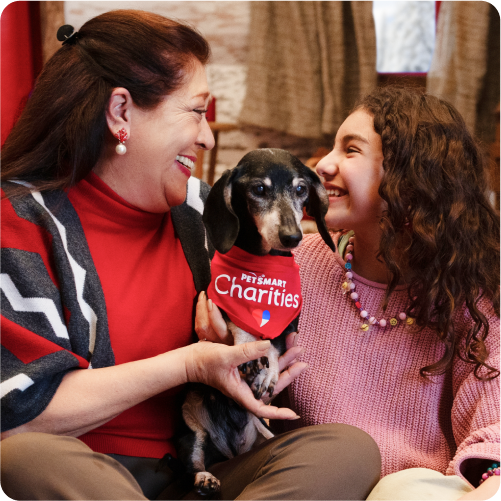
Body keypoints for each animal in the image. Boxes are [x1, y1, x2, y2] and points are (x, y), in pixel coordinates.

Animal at [158, 148, 334, 496]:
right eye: (259, 189)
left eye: (301, 189)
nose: (292, 237)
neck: (262, 264)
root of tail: (229, 451)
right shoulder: (218, 304)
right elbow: (241, 327)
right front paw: (250, 351)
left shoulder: (290, 323)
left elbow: (274, 346)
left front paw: (268, 372)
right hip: (190, 422)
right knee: (192, 463)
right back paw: (205, 479)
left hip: (261, 434)